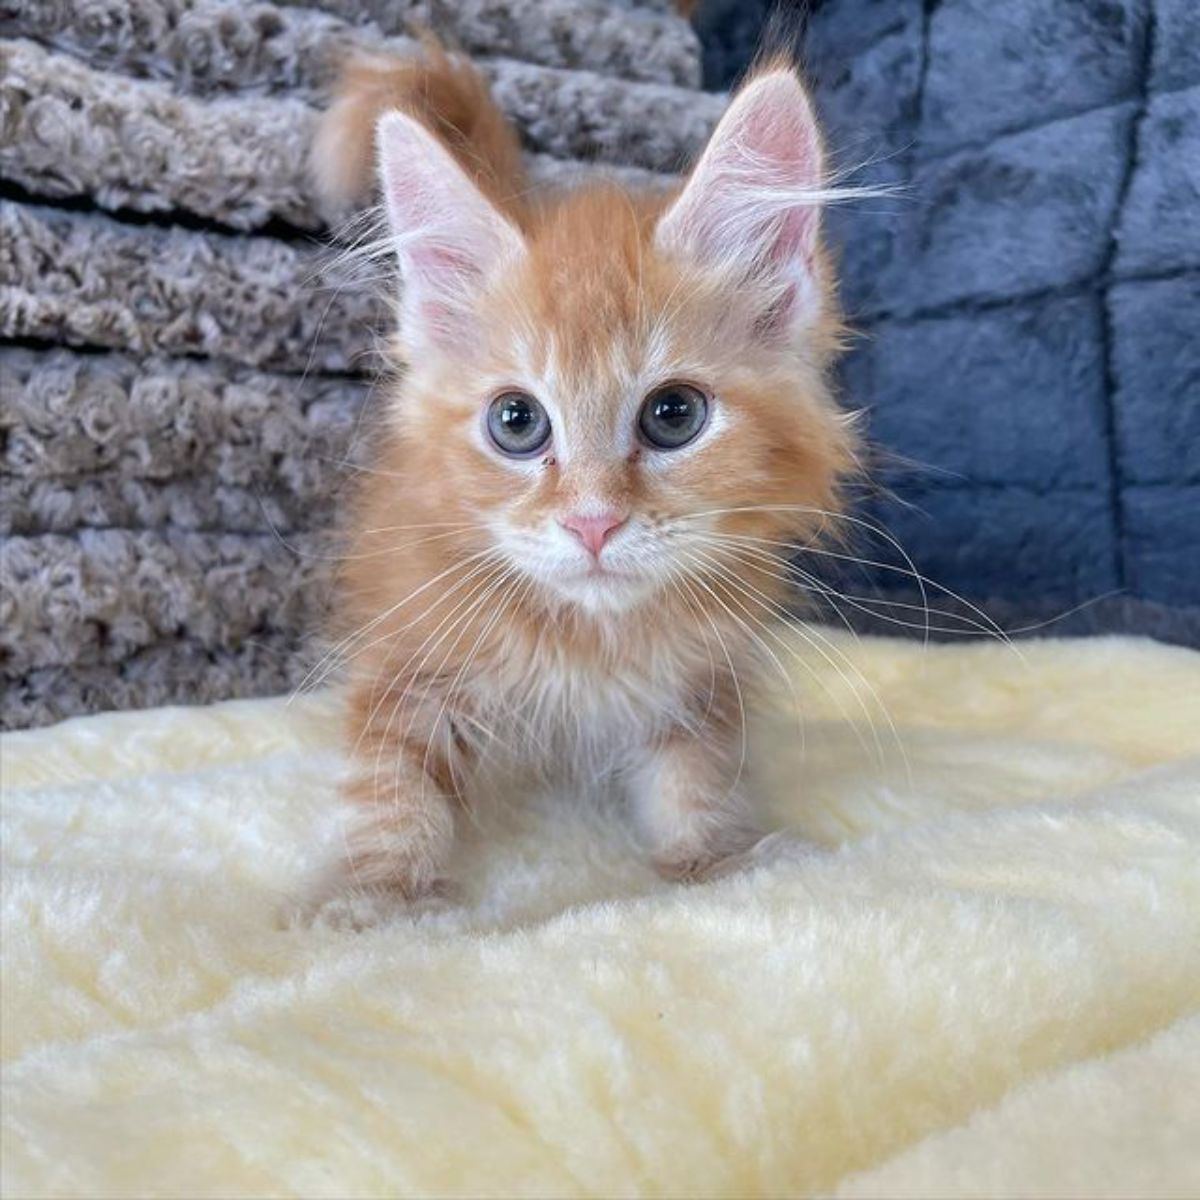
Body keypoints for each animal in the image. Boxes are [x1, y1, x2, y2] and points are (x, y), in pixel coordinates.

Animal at [309, 49, 864, 907]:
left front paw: (713, 854)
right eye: (516, 422)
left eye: (674, 414)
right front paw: (383, 893)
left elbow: (696, 766)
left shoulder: (701, 674)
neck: (591, 641)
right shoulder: (404, 644)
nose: (593, 523)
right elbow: (392, 778)